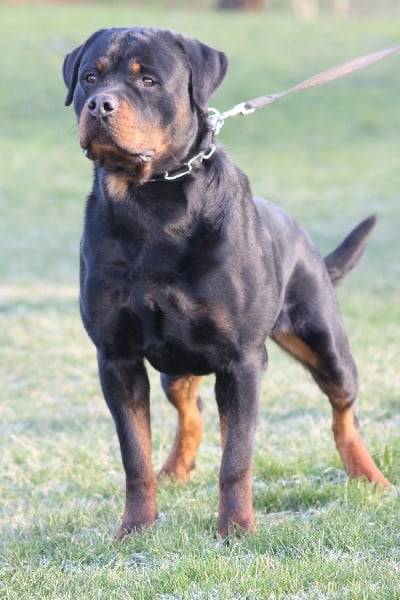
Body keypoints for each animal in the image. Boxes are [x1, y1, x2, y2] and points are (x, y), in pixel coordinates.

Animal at [63, 27, 390, 539]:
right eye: (89, 78)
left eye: (148, 80)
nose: (100, 105)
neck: (150, 205)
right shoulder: (116, 358)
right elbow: (134, 456)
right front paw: (135, 529)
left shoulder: (242, 361)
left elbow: (236, 457)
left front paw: (235, 529)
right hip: (177, 367)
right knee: (191, 411)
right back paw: (175, 470)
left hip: (324, 341)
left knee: (343, 414)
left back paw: (370, 476)